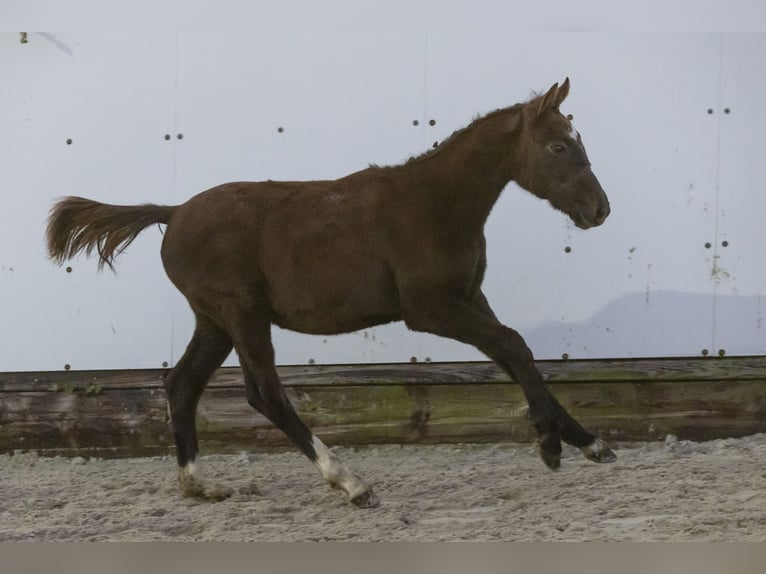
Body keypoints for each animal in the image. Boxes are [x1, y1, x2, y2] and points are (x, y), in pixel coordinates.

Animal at [48, 79, 616, 510]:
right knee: (264, 394)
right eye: (558, 146)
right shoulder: (429, 309)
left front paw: (589, 443)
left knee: (182, 383)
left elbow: (515, 353)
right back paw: (351, 483)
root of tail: (173, 213)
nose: (600, 210)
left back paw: (199, 485)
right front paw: (551, 445)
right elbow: (514, 345)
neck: (432, 203)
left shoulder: (470, 297)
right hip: (242, 314)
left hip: (214, 321)